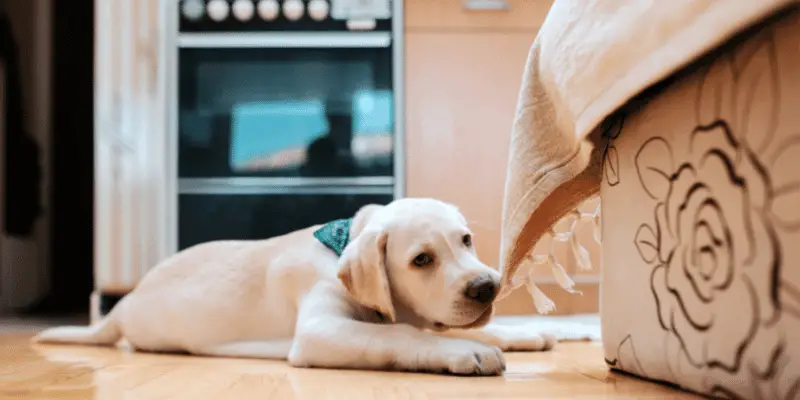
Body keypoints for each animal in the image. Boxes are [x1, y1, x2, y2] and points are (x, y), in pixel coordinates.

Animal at [34, 198, 552, 376]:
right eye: (421, 260)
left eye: (466, 240)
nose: (487, 287)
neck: (338, 246)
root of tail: (124, 305)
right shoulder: (321, 330)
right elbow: (402, 335)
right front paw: (465, 351)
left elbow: (466, 327)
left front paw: (522, 333)